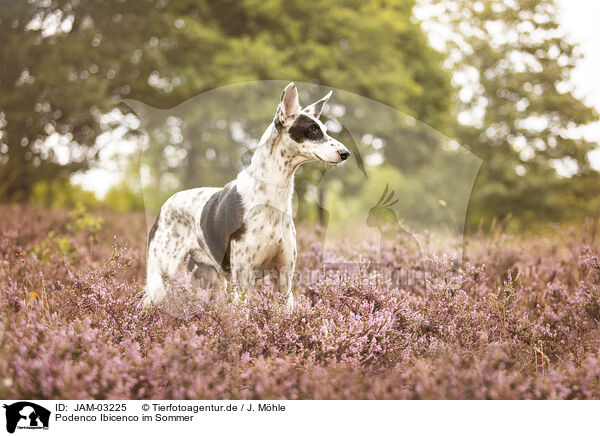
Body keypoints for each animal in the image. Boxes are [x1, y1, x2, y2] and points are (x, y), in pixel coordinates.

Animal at [146, 83, 352, 308]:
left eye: (323, 129)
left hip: (210, 282)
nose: (346, 153)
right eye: (312, 129)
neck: (272, 198)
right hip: (160, 279)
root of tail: (164, 206)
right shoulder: (243, 283)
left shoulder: (284, 281)